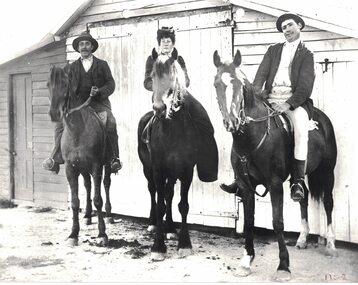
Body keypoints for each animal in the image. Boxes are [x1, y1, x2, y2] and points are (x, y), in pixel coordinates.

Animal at [46, 63, 113, 244]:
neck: (78, 129)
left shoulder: (96, 166)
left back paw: (109, 215)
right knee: (88, 186)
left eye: (65, 84)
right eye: (48, 85)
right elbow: (75, 202)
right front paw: (73, 234)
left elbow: (98, 199)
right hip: (83, 168)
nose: (54, 114)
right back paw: (88, 215)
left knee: (106, 184)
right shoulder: (71, 168)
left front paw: (102, 234)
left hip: (106, 165)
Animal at [137, 48, 200, 260]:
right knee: (153, 192)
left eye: (173, 76)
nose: (159, 108)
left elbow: (182, 204)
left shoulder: (187, 170)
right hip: (147, 169)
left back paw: (171, 228)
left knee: (169, 194)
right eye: (152, 76)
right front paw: (158, 247)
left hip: (172, 173)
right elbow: (160, 204)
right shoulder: (158, 170)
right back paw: (153, 224)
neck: (172, 130)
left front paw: (184, 244)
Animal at [213, 50, 338, 280]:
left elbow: (277, 222)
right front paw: (246, 261)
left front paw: (283, 266)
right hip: (299, 176)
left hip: (327, 172)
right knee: (303, 195)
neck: (252, 136)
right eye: (216, 83)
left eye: (238, 84)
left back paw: (331, 245)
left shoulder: (274, 184)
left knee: (328, 202)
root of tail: (322, 117)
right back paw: (302, 238)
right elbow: (249, 222)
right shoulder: (245, 185)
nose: (231, 122)